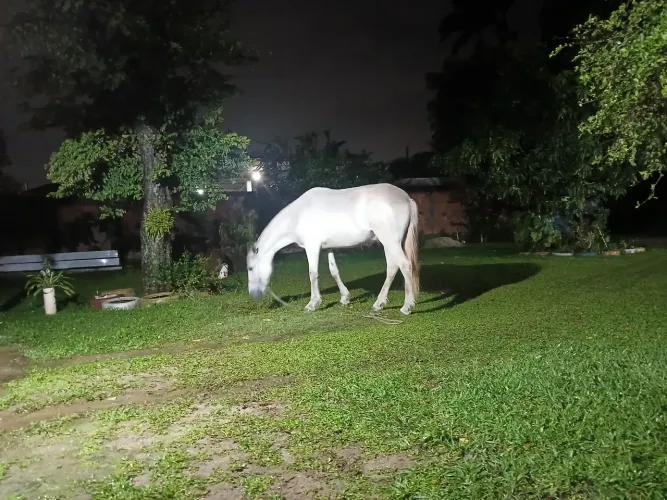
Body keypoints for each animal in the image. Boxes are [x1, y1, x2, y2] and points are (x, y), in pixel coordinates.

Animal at [246, 183, 420, 315]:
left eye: (250, 268)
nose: (254, 295)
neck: (298, 215)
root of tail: (407, 198)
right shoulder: (327, 249)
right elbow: (334, 271)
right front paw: (344, 298)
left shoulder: (312, 247)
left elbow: (313, 274)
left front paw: (313, 303)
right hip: (390, 244)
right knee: (392, 268)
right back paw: (379, 303)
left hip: (390, 242)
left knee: (404, 266)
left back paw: (407, 306)